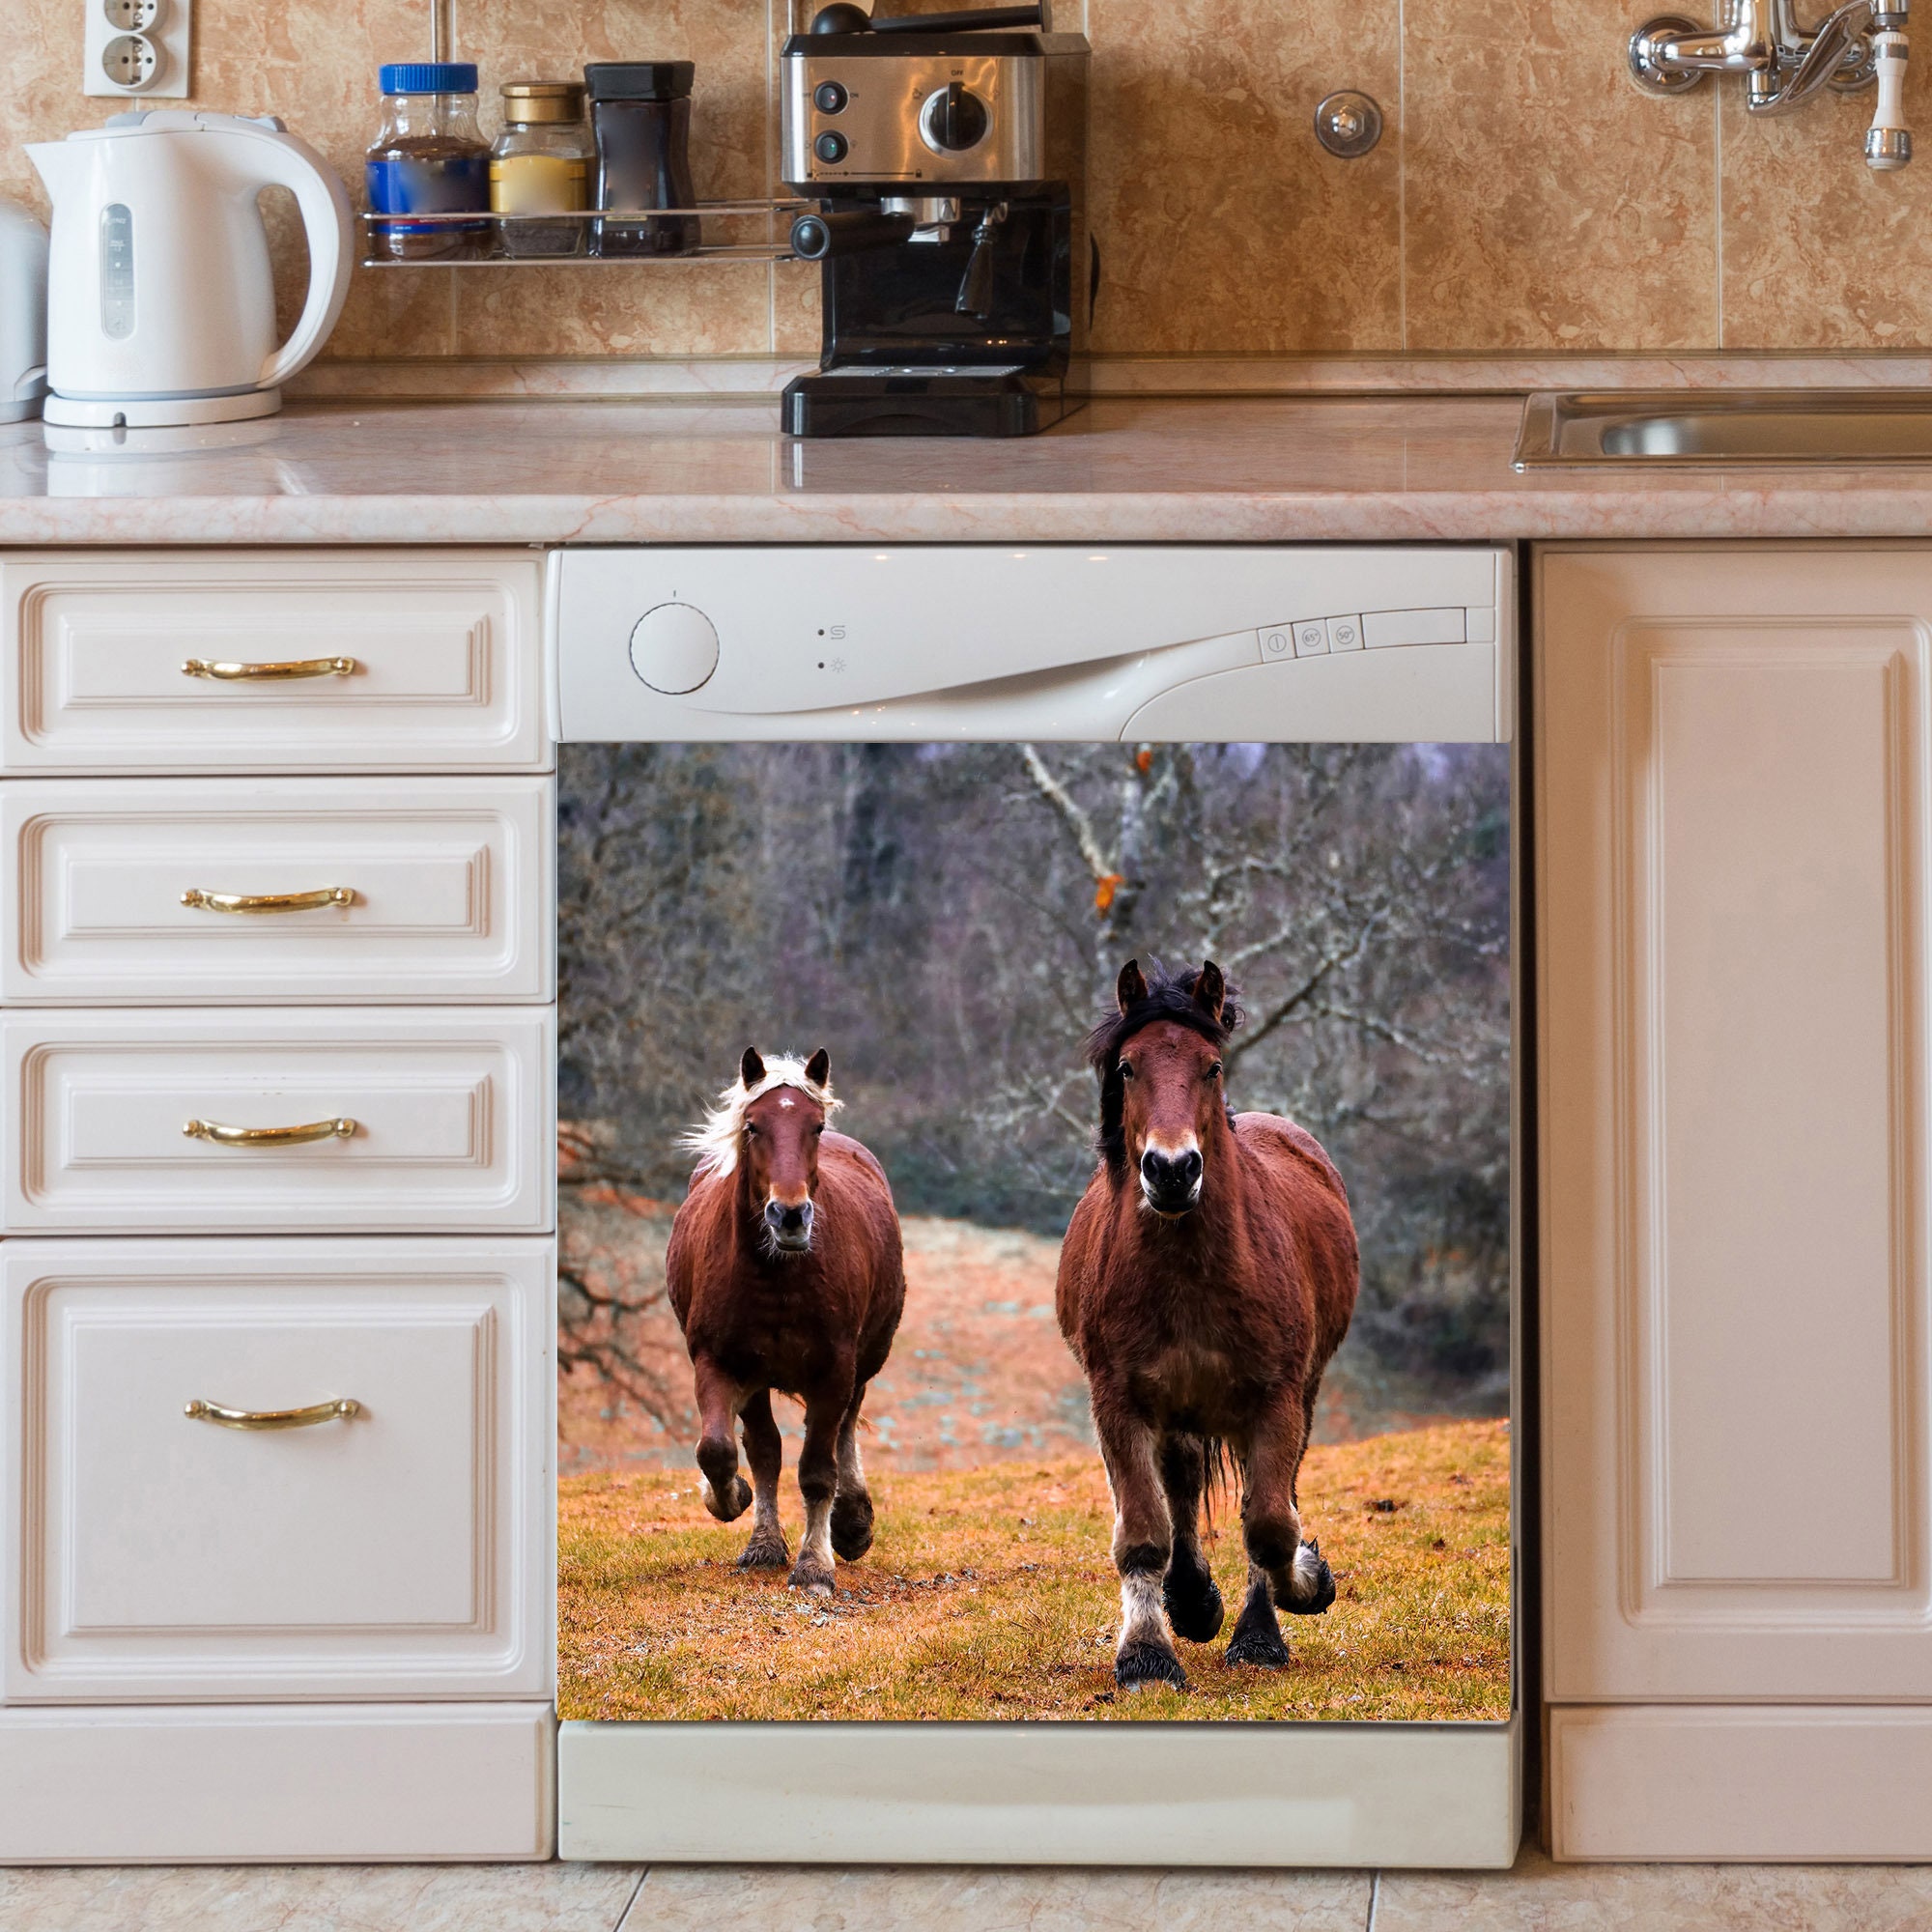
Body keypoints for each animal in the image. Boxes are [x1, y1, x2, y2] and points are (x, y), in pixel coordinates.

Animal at [665, 1046, 906, 1596]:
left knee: (844, 1432)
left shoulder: (835, 1370)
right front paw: (733, 1504)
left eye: (815, 1126)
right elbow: (722, 1451)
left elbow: (817, 1470)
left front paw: (815, 1566)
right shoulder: (720, 1363)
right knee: (765, 1449)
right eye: (753, 1126)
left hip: (864, 1361)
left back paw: (851, 1523)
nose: (790, 1216)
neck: (776, 1276)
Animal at [1056, 958, 1360, 1691]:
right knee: (1183, 1489)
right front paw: (1147, 1653)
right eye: (1128, 1067)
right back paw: (1191, 1601)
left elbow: (1271, 1525)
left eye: (1212, 1066)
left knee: (1263, 1498)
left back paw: (1252, 1623)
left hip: (1294, 1396)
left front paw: (1301, 1591)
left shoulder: (1276, 1401)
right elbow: (1144, 1532)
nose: (1172, 1170)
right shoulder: (1120, 1403)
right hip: (1178, 1410)